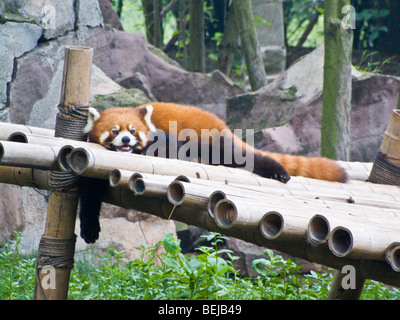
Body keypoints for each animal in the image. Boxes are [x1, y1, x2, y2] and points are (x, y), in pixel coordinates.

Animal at [80, 102, 346, 242]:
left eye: (133, 131)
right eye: (115, 131)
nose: (126, 140)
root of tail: (220, 122)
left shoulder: (166, 139)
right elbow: (89, 195)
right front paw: (89, 229)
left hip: (211, 141)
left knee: (244, 157)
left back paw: (277, 171)